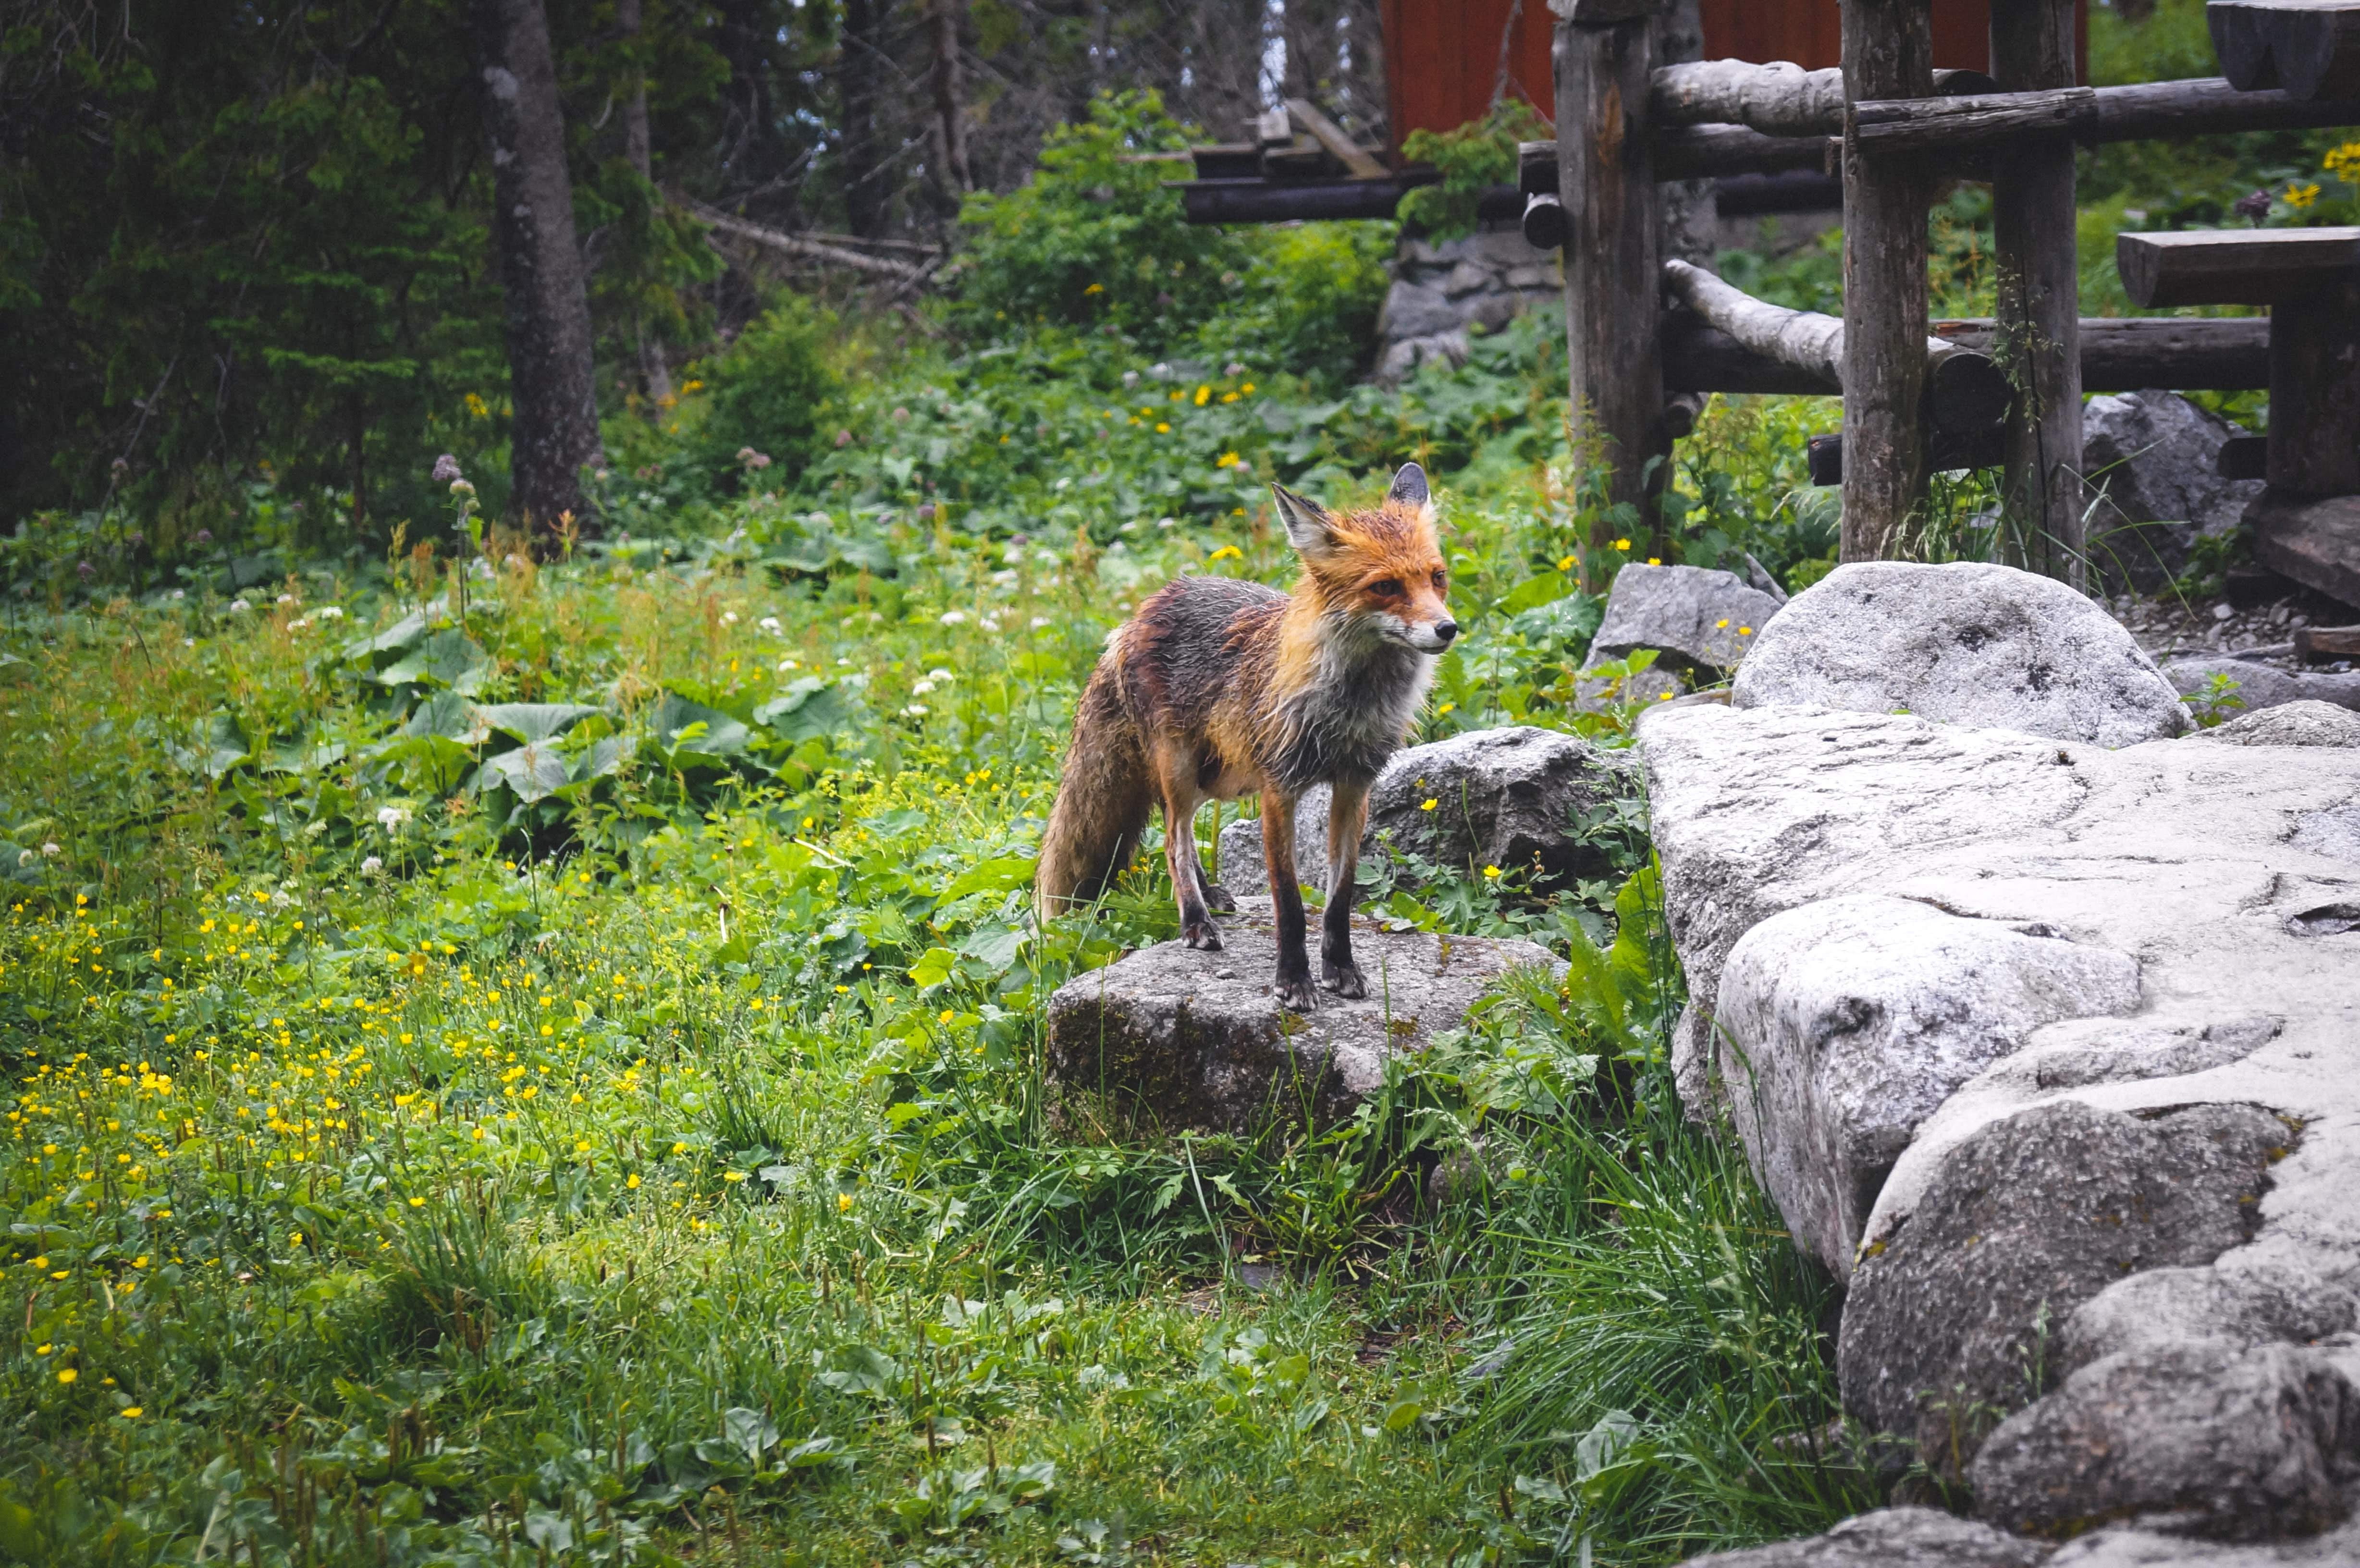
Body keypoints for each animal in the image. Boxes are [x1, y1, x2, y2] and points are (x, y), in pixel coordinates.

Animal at [1035, 461, 1456, 1010]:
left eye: (1437, 577)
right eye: (1385, 586)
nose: (1448, 629)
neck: (1349, 705)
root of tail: (1139, 612)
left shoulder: (1355, 785)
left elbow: (1338, 899)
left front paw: (1341, 969)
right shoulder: (1279, 789)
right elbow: (1290, 902)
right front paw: (1293, 981)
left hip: (1220, 777)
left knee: (1177, 831)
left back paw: (1208, 894)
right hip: (1184, 768)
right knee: (1172, 839)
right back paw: (1195, 920)